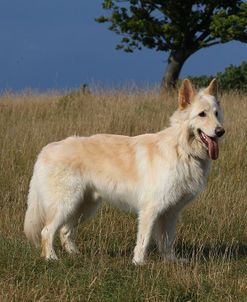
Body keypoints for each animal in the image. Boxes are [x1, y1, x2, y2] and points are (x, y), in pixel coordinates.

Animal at [24, 79, 225, 264]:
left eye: (216, 114)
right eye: (202, 114)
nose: (221, 131)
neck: (182, 149)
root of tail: (45, 150)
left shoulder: (171, 212)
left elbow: (168, 241)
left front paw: (172, 262)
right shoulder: (150, 210)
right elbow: (143, 241)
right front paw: (139, 264)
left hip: (84, 207)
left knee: (65, 231)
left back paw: (75, 255)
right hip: (66, 205)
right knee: (47, 231)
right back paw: (51, 258)